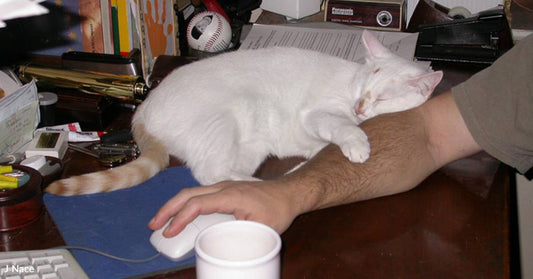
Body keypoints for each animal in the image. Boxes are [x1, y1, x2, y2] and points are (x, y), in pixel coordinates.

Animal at [46, 30, 440, 196]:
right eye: (364, 88)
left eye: (382, 98)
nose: (360, 106)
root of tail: (143, 108)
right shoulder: (317, 113)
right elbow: (342, 126)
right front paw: (357, 143)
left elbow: (319, 147)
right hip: (233, 114)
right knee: (207, 174)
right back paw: (265, 185)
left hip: (252, 144)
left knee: (219, 173)